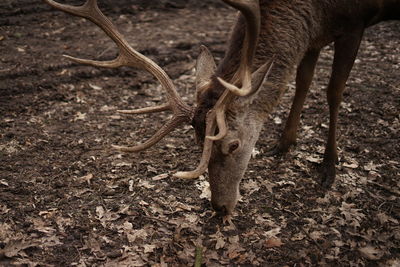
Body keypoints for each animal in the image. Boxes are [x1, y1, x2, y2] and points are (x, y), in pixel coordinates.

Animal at [44, 0, 400, 216]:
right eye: (196, 142)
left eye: (233, 144)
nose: (220, 208)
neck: (317, 10)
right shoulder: (314, 35)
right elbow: (302, 82)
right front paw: (284, 143)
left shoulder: (354, 24)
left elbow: (333, 91)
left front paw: (329, 167)